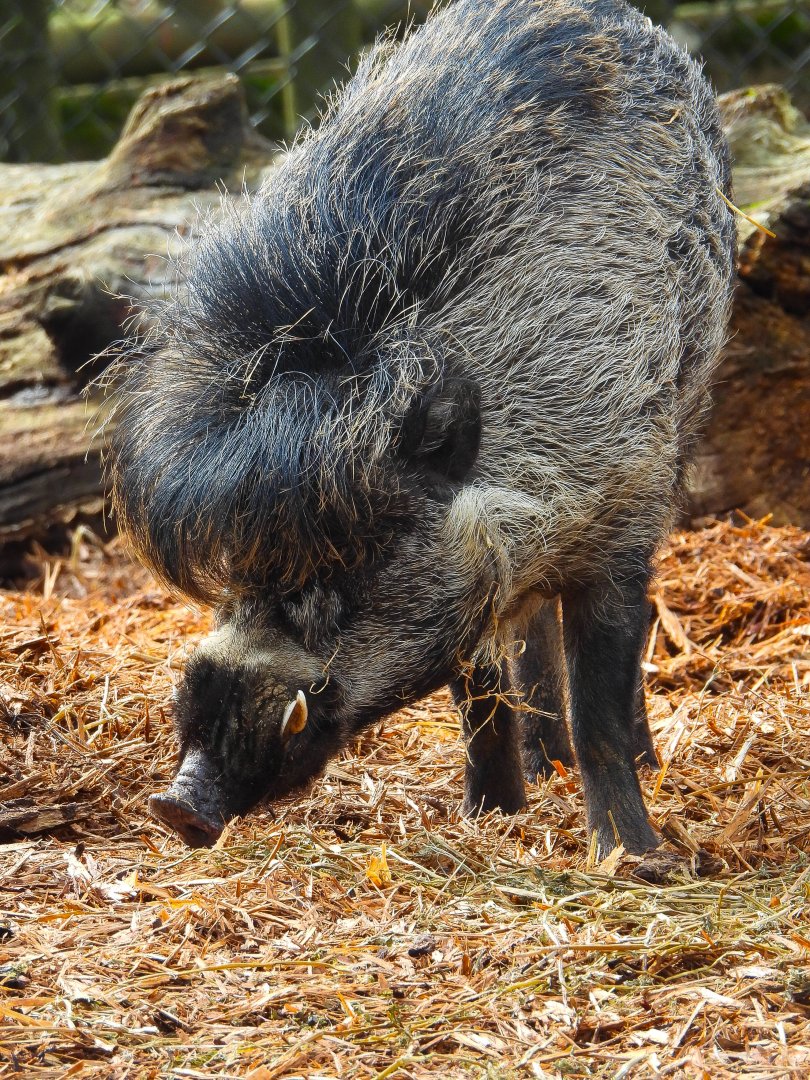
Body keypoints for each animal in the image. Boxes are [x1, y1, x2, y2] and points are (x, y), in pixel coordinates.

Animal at [108, 0, 736, 853]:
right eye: (239, 572)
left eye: (355, 562)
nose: (176, 805)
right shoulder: (473, 566)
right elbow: (479, 695)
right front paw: (490, 816)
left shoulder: (620, 508)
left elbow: (600, 703)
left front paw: (633, 860)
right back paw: (543, 767)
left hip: (692, 394)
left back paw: (632, 765)